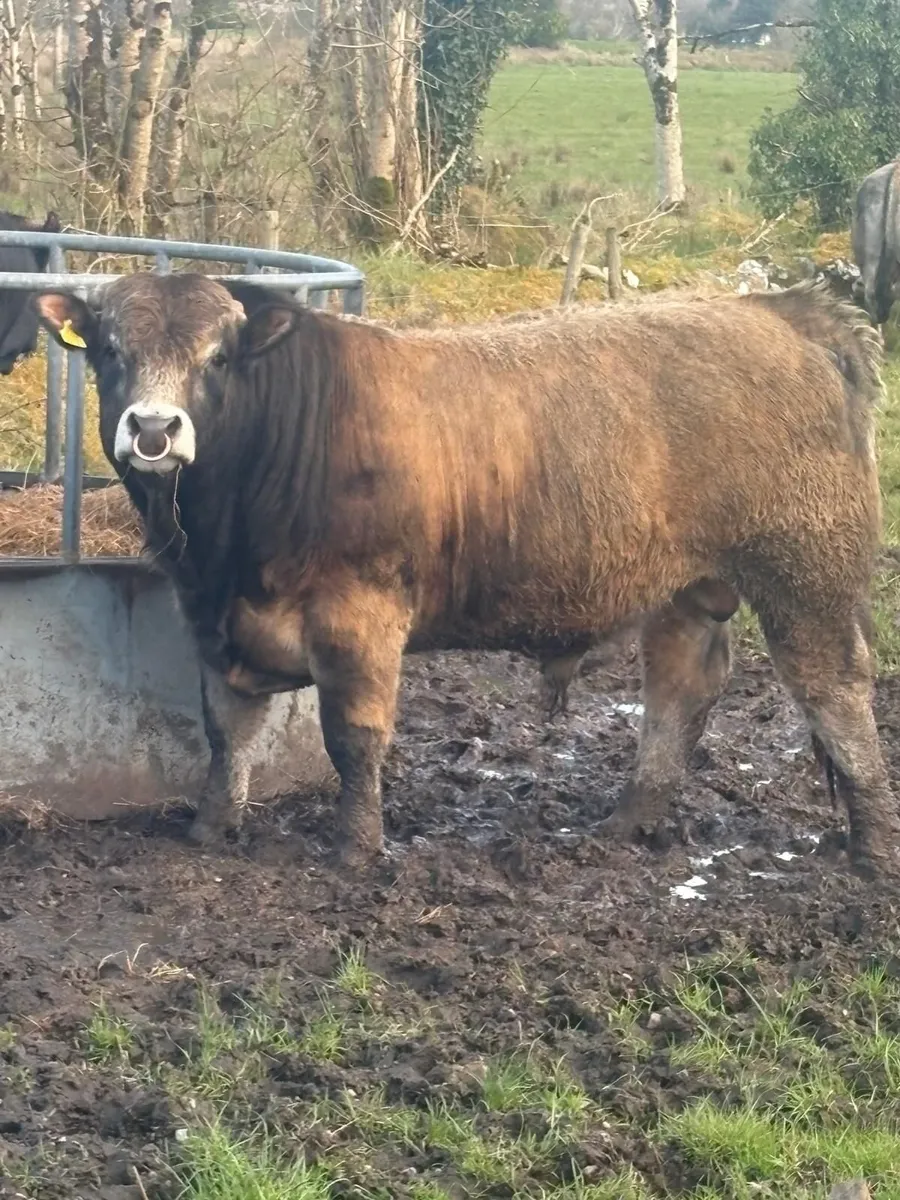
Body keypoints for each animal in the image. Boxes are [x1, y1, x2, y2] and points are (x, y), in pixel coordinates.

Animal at [34, 274, 899, 876]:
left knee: (835, 690)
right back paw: (629, 822)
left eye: (216, 358)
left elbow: (353, 737)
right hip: (687, 588)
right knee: (681, 686)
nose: (153, 429)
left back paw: (871, 850)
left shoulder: (360, 616)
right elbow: (228, 730)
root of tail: (783, 311)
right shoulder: (219, 621)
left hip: (806, 574)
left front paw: (355, 849)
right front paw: (211, 827)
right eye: (111, 352)